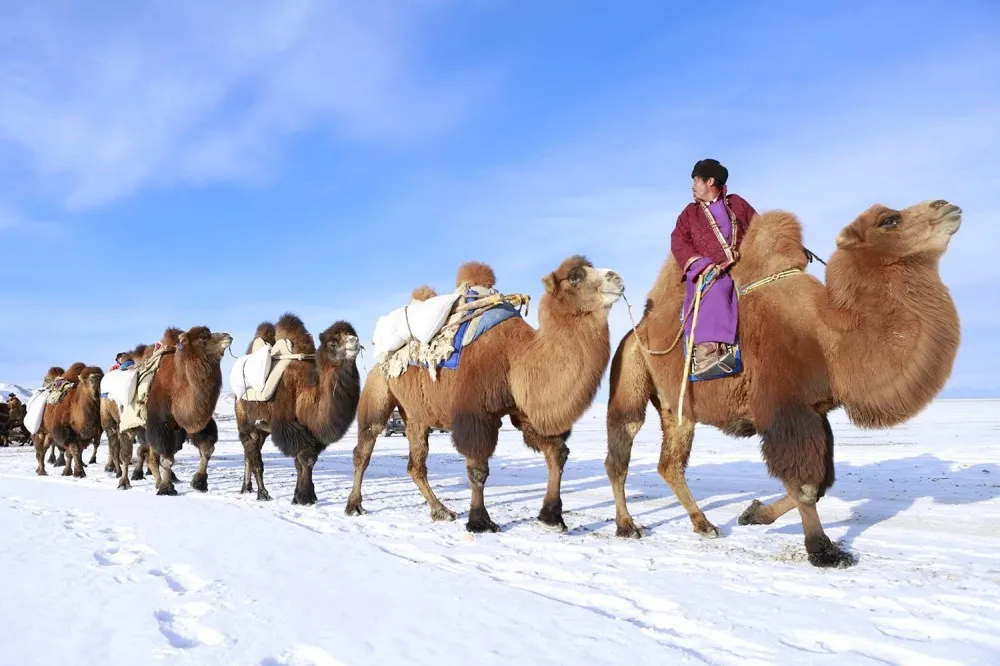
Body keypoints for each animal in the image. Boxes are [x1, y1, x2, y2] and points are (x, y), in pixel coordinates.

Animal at [143, 325, 232, 495]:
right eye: (204, 337)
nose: (228, 336)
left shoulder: (193, 422)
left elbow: (207, 449)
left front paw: (199, 482)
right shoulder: (160, 425)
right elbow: (167, 459)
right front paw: (167, 487)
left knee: (151, 456)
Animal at [235, 315, 361, 504]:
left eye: (352, 334)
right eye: (332, 342)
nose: (354, 341)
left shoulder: (311, 433)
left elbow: (306, 460)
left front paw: (304, 496)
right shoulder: (290, 428)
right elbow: (305, 458)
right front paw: (304, 497)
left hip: (261, 428)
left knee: (249, 452)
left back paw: (246, 488)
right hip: (245, 421)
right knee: (253, 452)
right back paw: (263, 493)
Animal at [348, 257, 624, 532]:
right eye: (575, 277)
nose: (617, 277)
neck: (516, 355)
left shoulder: (524, 411)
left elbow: (558, 452)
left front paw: (552, 517)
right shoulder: (474, 414)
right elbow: (478, 469)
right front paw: (480, 521)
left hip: (416, 415)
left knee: (416, 464)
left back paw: (441, 510)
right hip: (379, 387)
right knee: (365, 446)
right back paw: (354, 505)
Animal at [605, 199, 962, 568]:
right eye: (889, 220)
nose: (947, 205)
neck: (829, 339)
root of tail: (637, 330)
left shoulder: (816, 411)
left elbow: (820, 482)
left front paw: (754, 513)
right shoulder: (785, 409)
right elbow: (806, 485)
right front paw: (824, 550)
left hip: (677, 408)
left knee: (670, 465)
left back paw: (704, 524)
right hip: (631, 371)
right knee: (622, 447)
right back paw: (626, 525)